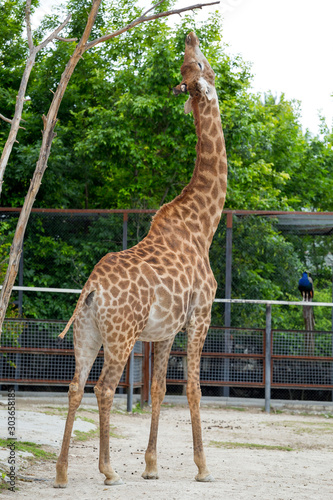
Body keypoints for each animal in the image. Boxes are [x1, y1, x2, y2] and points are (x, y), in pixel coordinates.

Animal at [54, 32, 226, 488]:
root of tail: (92, 288)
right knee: (103, 388)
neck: (204, 226)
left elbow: (160, 390)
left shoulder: (165, 330)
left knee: (75, 386)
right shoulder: (201, 314)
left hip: (87, 332)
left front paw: (150, 466)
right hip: (121, 335)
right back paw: (108, 470)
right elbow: (193, 388)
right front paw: (203, 467)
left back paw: (61, 473)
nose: (190, 34)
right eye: (200, 64)